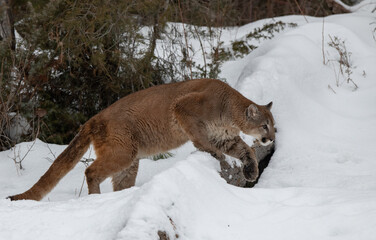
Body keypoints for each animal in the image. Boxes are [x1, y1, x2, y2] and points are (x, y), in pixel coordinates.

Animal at [8, 79, 274, 201]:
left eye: (273, 126)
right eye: (265, 125)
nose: (271, 138)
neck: (229, 109)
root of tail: (93, 118)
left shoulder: (225, 137)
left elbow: (247, 151)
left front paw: (251, 171)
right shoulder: (183, 109)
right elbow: (203, 142)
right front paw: (218, 158)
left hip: (130, 162)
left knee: (118, 182)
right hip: (123, 152)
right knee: (91, 171)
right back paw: (96, 198)